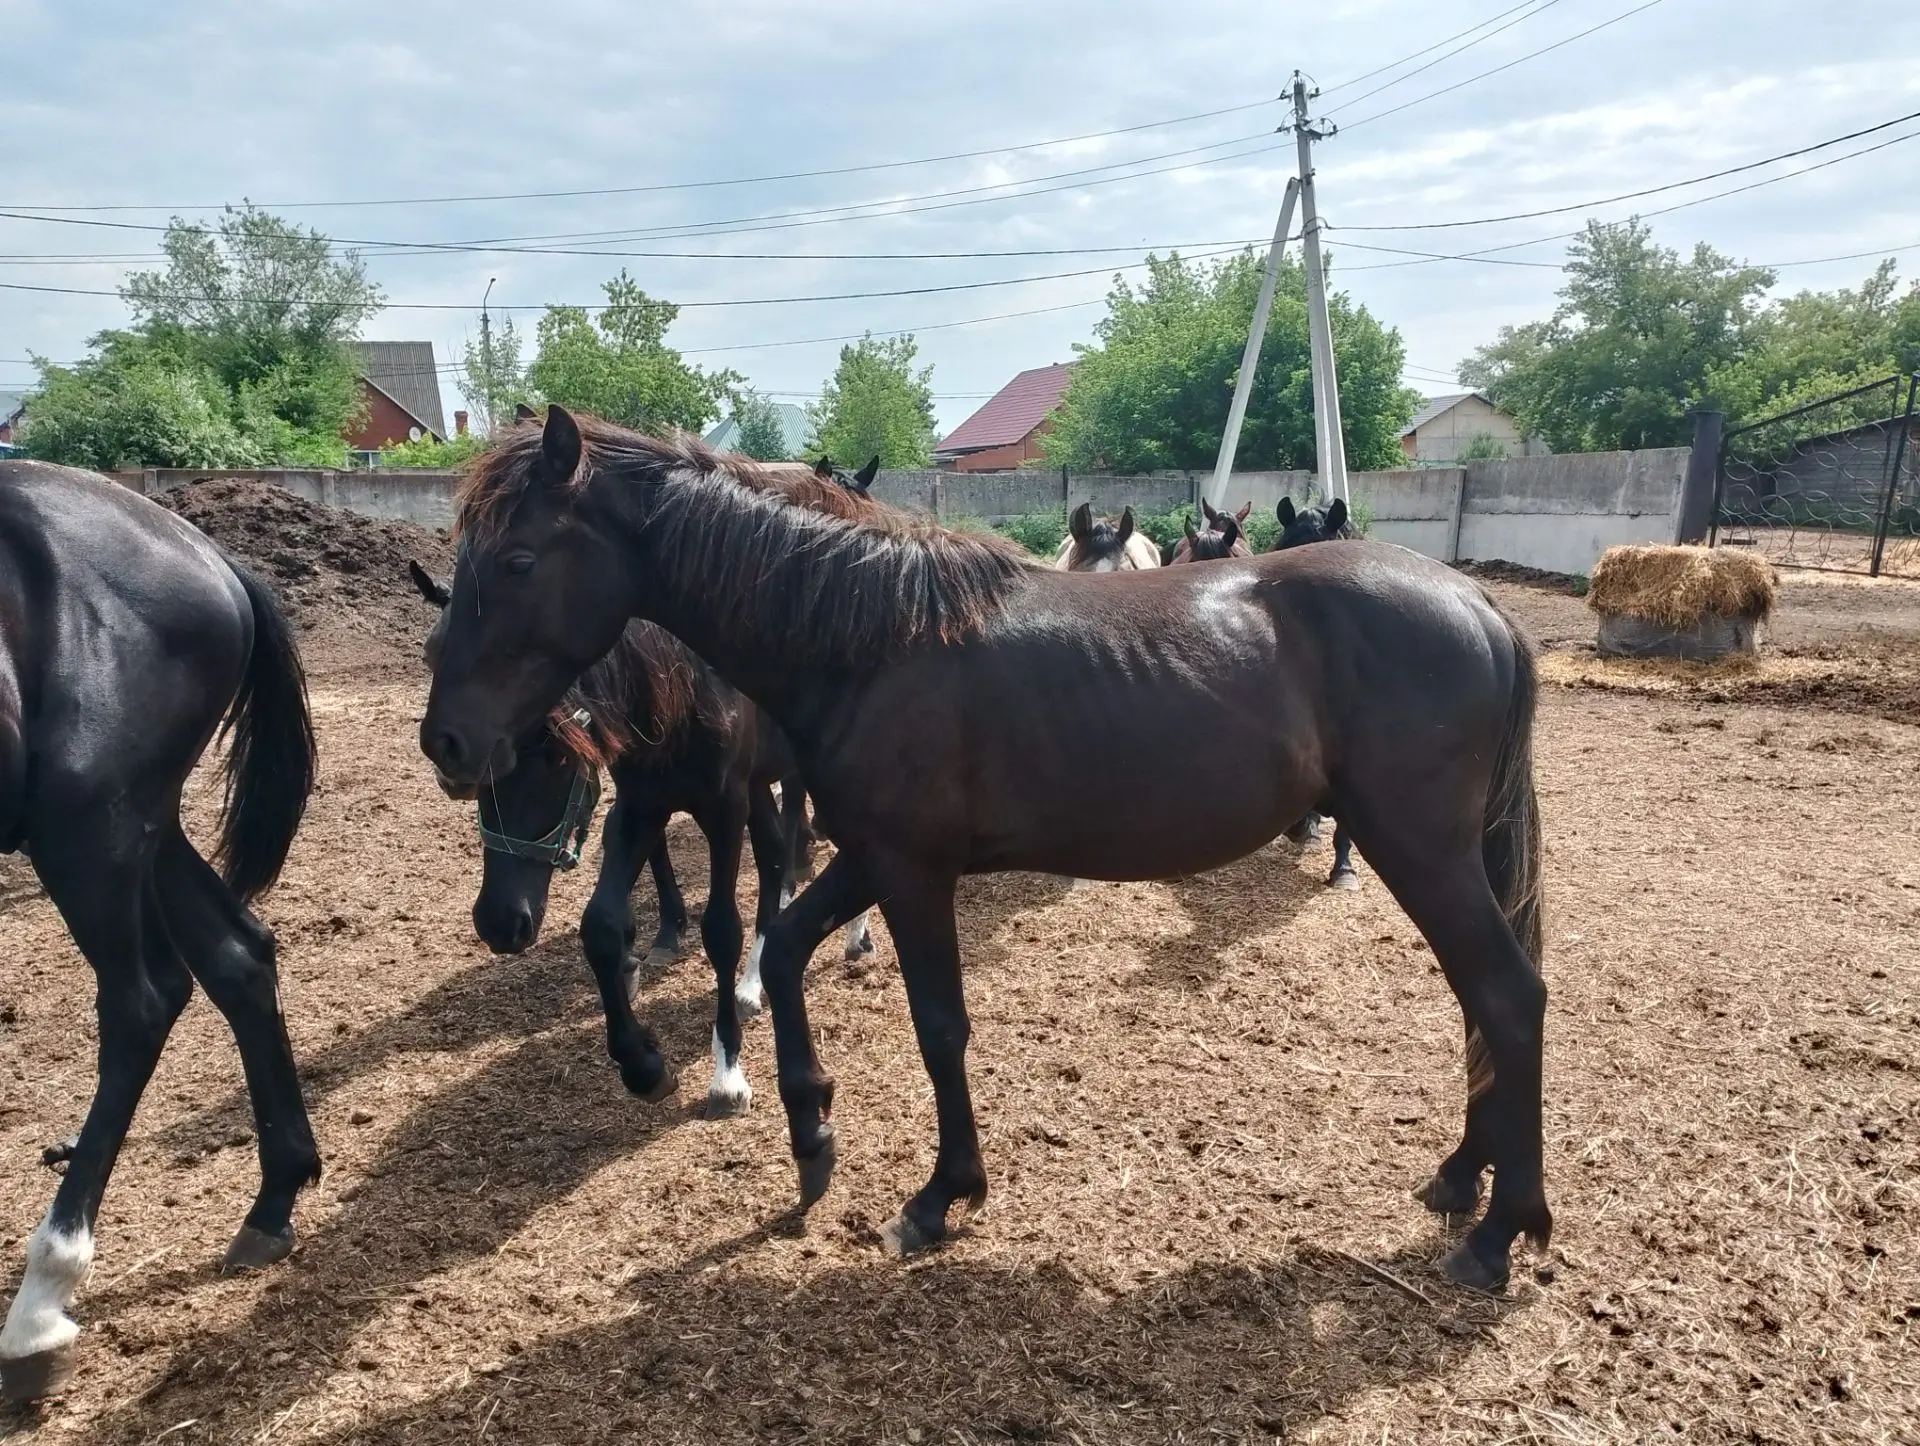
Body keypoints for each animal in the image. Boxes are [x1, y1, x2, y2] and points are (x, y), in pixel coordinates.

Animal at [0, 461, 319, 1400]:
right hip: (141, 818)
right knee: (238, 959)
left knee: (142, 1003)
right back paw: (274, 1200)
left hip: (84, 818)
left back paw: (42, 1301)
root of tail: (206, 554)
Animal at [409, 563, 869, 1118]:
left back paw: (854, 939)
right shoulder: (641, 805)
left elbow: (721, 931)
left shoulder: (723, 810)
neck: (685, 685)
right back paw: (754, 981)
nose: (500, 923)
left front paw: (728, 1075)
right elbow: (602, 927)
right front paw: (642, 1063)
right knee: (775, 854)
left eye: (554, 756)